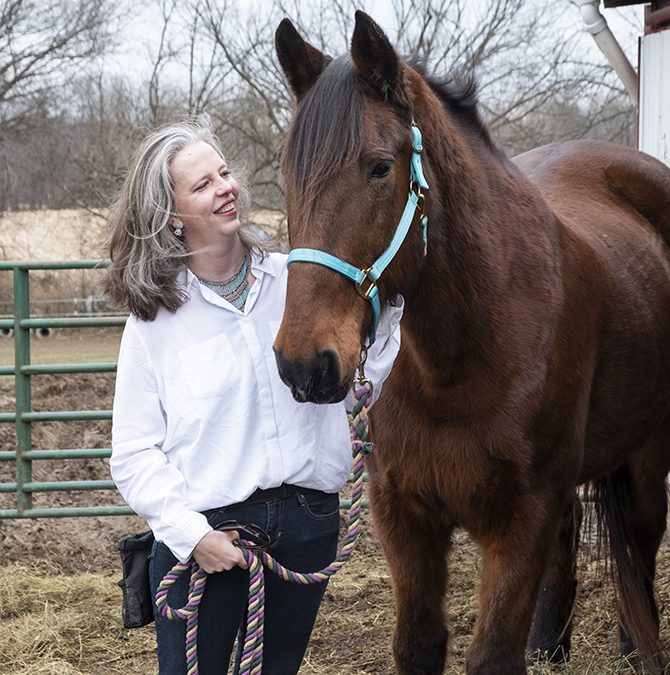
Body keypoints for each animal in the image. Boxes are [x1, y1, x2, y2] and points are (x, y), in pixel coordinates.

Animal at [272, 11, 670, 675]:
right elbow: (418, 644)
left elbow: (492, 656)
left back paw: (637, 649)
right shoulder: (404, 517)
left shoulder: (521, 519)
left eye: (379, 167)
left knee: (638, 555)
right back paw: (551, 645)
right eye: (286, 176)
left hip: (646, 458)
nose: (304, 366)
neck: (455, 365)